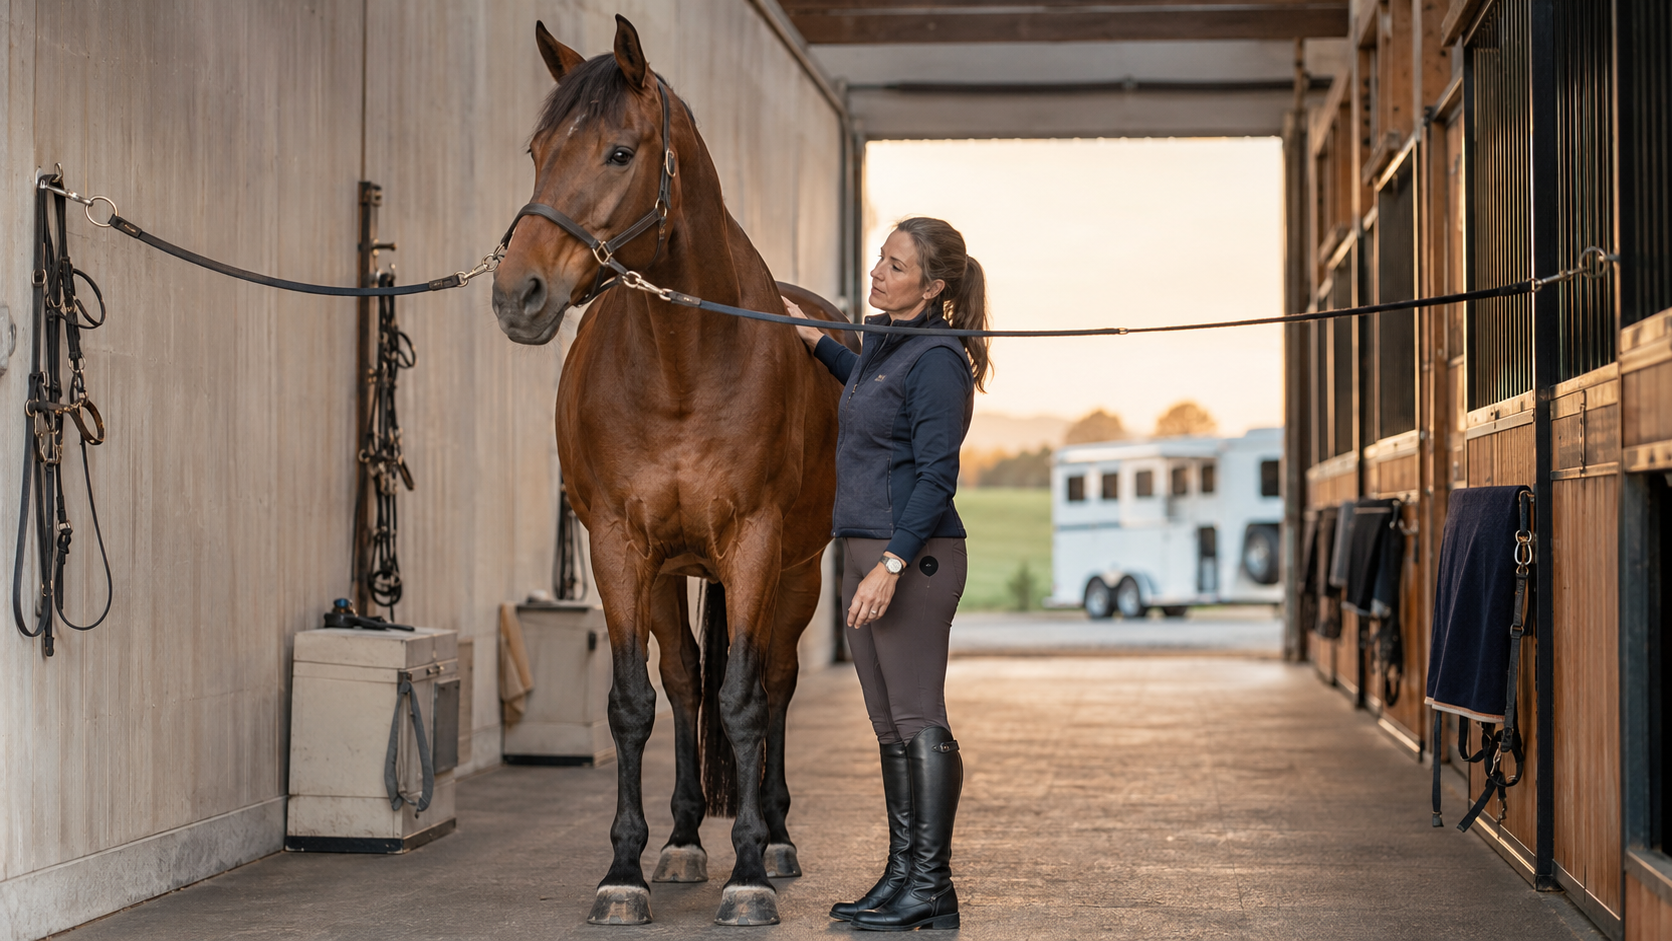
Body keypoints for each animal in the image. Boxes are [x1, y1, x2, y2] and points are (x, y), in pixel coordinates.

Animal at [489, 14, 856, 928]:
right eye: (536, 149)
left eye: (621, 153)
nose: (518, 293)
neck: (684, 365)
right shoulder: (620, 549)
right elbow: (635, 702)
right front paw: (624, 870)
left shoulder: (757, 546)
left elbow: (746, 698)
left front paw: (750, 872)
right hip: (668, 571)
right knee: (686, 679)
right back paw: (686, 838)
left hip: (796, 571)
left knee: (777, 680)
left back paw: (778, 836)